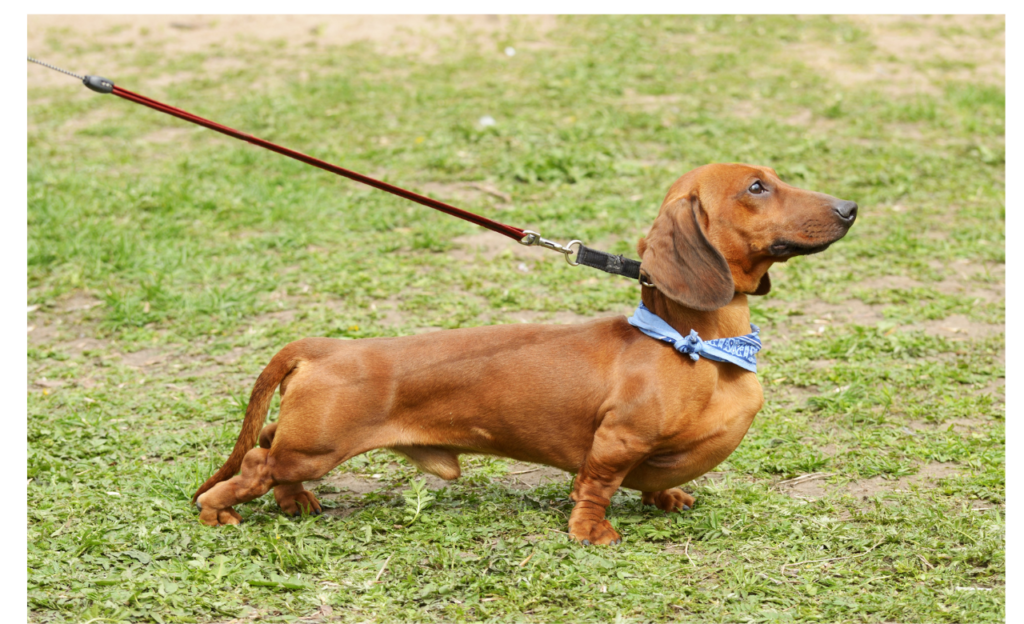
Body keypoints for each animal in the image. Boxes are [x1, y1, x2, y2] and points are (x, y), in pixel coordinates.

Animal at [192, 162, 856, 541]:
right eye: (756, 187)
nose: (850, 208)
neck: (695, 345)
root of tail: (327, 346)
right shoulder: (617, 441)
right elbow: (596, 487)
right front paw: (591, 532)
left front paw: (664, 497)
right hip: (316, 446)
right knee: (255, 464)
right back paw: (218, 513)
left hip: (305, 444)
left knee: (269, 449)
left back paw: (296, 503)